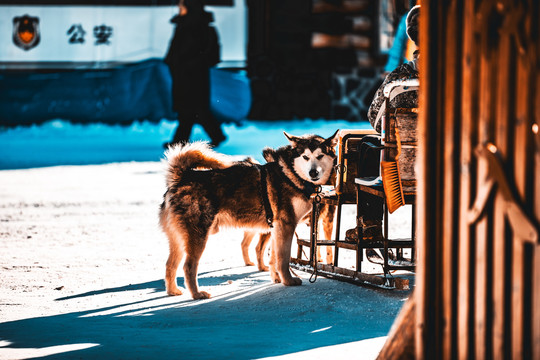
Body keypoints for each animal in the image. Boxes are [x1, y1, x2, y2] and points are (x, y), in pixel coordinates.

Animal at [159, 131, 338, 300]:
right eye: (305, 157)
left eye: (320, 156)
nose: (313, 172)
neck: (291, 174)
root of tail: (181, 177)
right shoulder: (286, 225)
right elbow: (283, 258)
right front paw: (288, 281)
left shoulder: (276, 229)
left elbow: (273, 258)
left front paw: (277, 278)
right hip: (198, 236)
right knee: (188, 266)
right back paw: (197, 294)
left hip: (179, 239)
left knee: (170, 265)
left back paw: (173, 291)